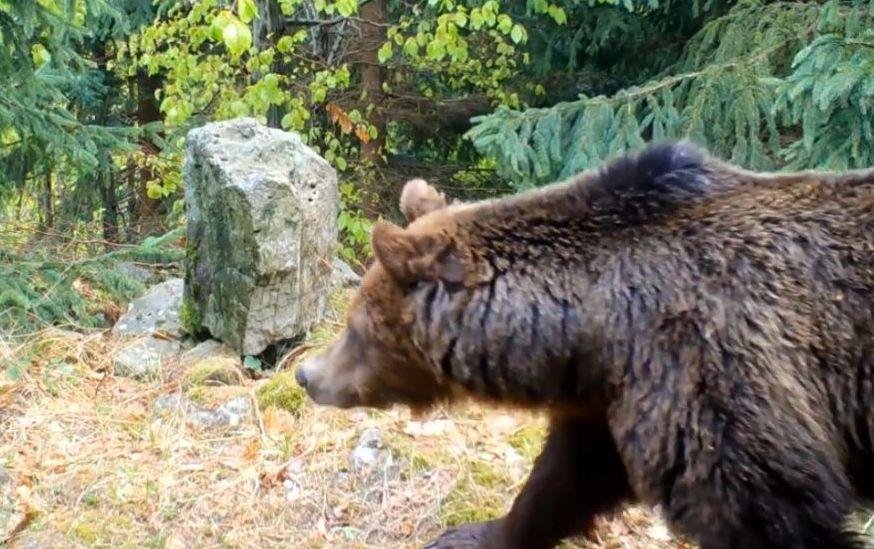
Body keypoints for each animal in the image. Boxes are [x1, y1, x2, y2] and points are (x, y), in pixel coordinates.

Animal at [294, 141, 872, 548]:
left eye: (355, 326)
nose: (307, 375)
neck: (594, 329)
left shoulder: (713, 377)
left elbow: (767, 512)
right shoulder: (612, 397)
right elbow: (564, 481)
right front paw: (474, 534)